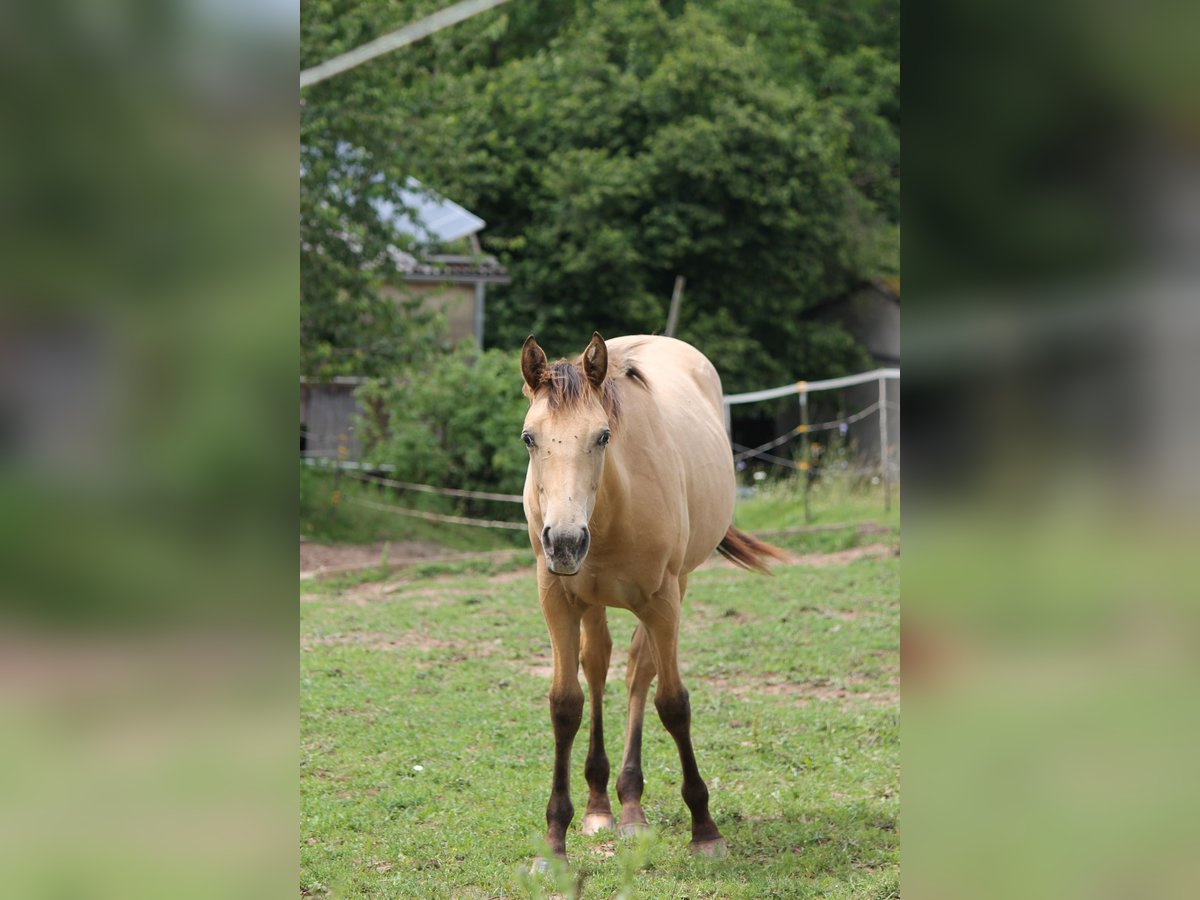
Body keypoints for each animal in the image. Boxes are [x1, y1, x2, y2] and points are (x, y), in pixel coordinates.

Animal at [520, 336, 782, 864]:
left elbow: (673, 703)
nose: (564, 541)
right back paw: (601, 806)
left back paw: (631, 808)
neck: (610, 509)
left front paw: (705, 830)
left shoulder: (663, 601)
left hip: (676, 585)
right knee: (598, 665)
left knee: (640, 672)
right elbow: (565, 704)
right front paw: (554, 840)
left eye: (602, 436)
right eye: (528, 438)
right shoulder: (556, 597)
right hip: (591, 601)